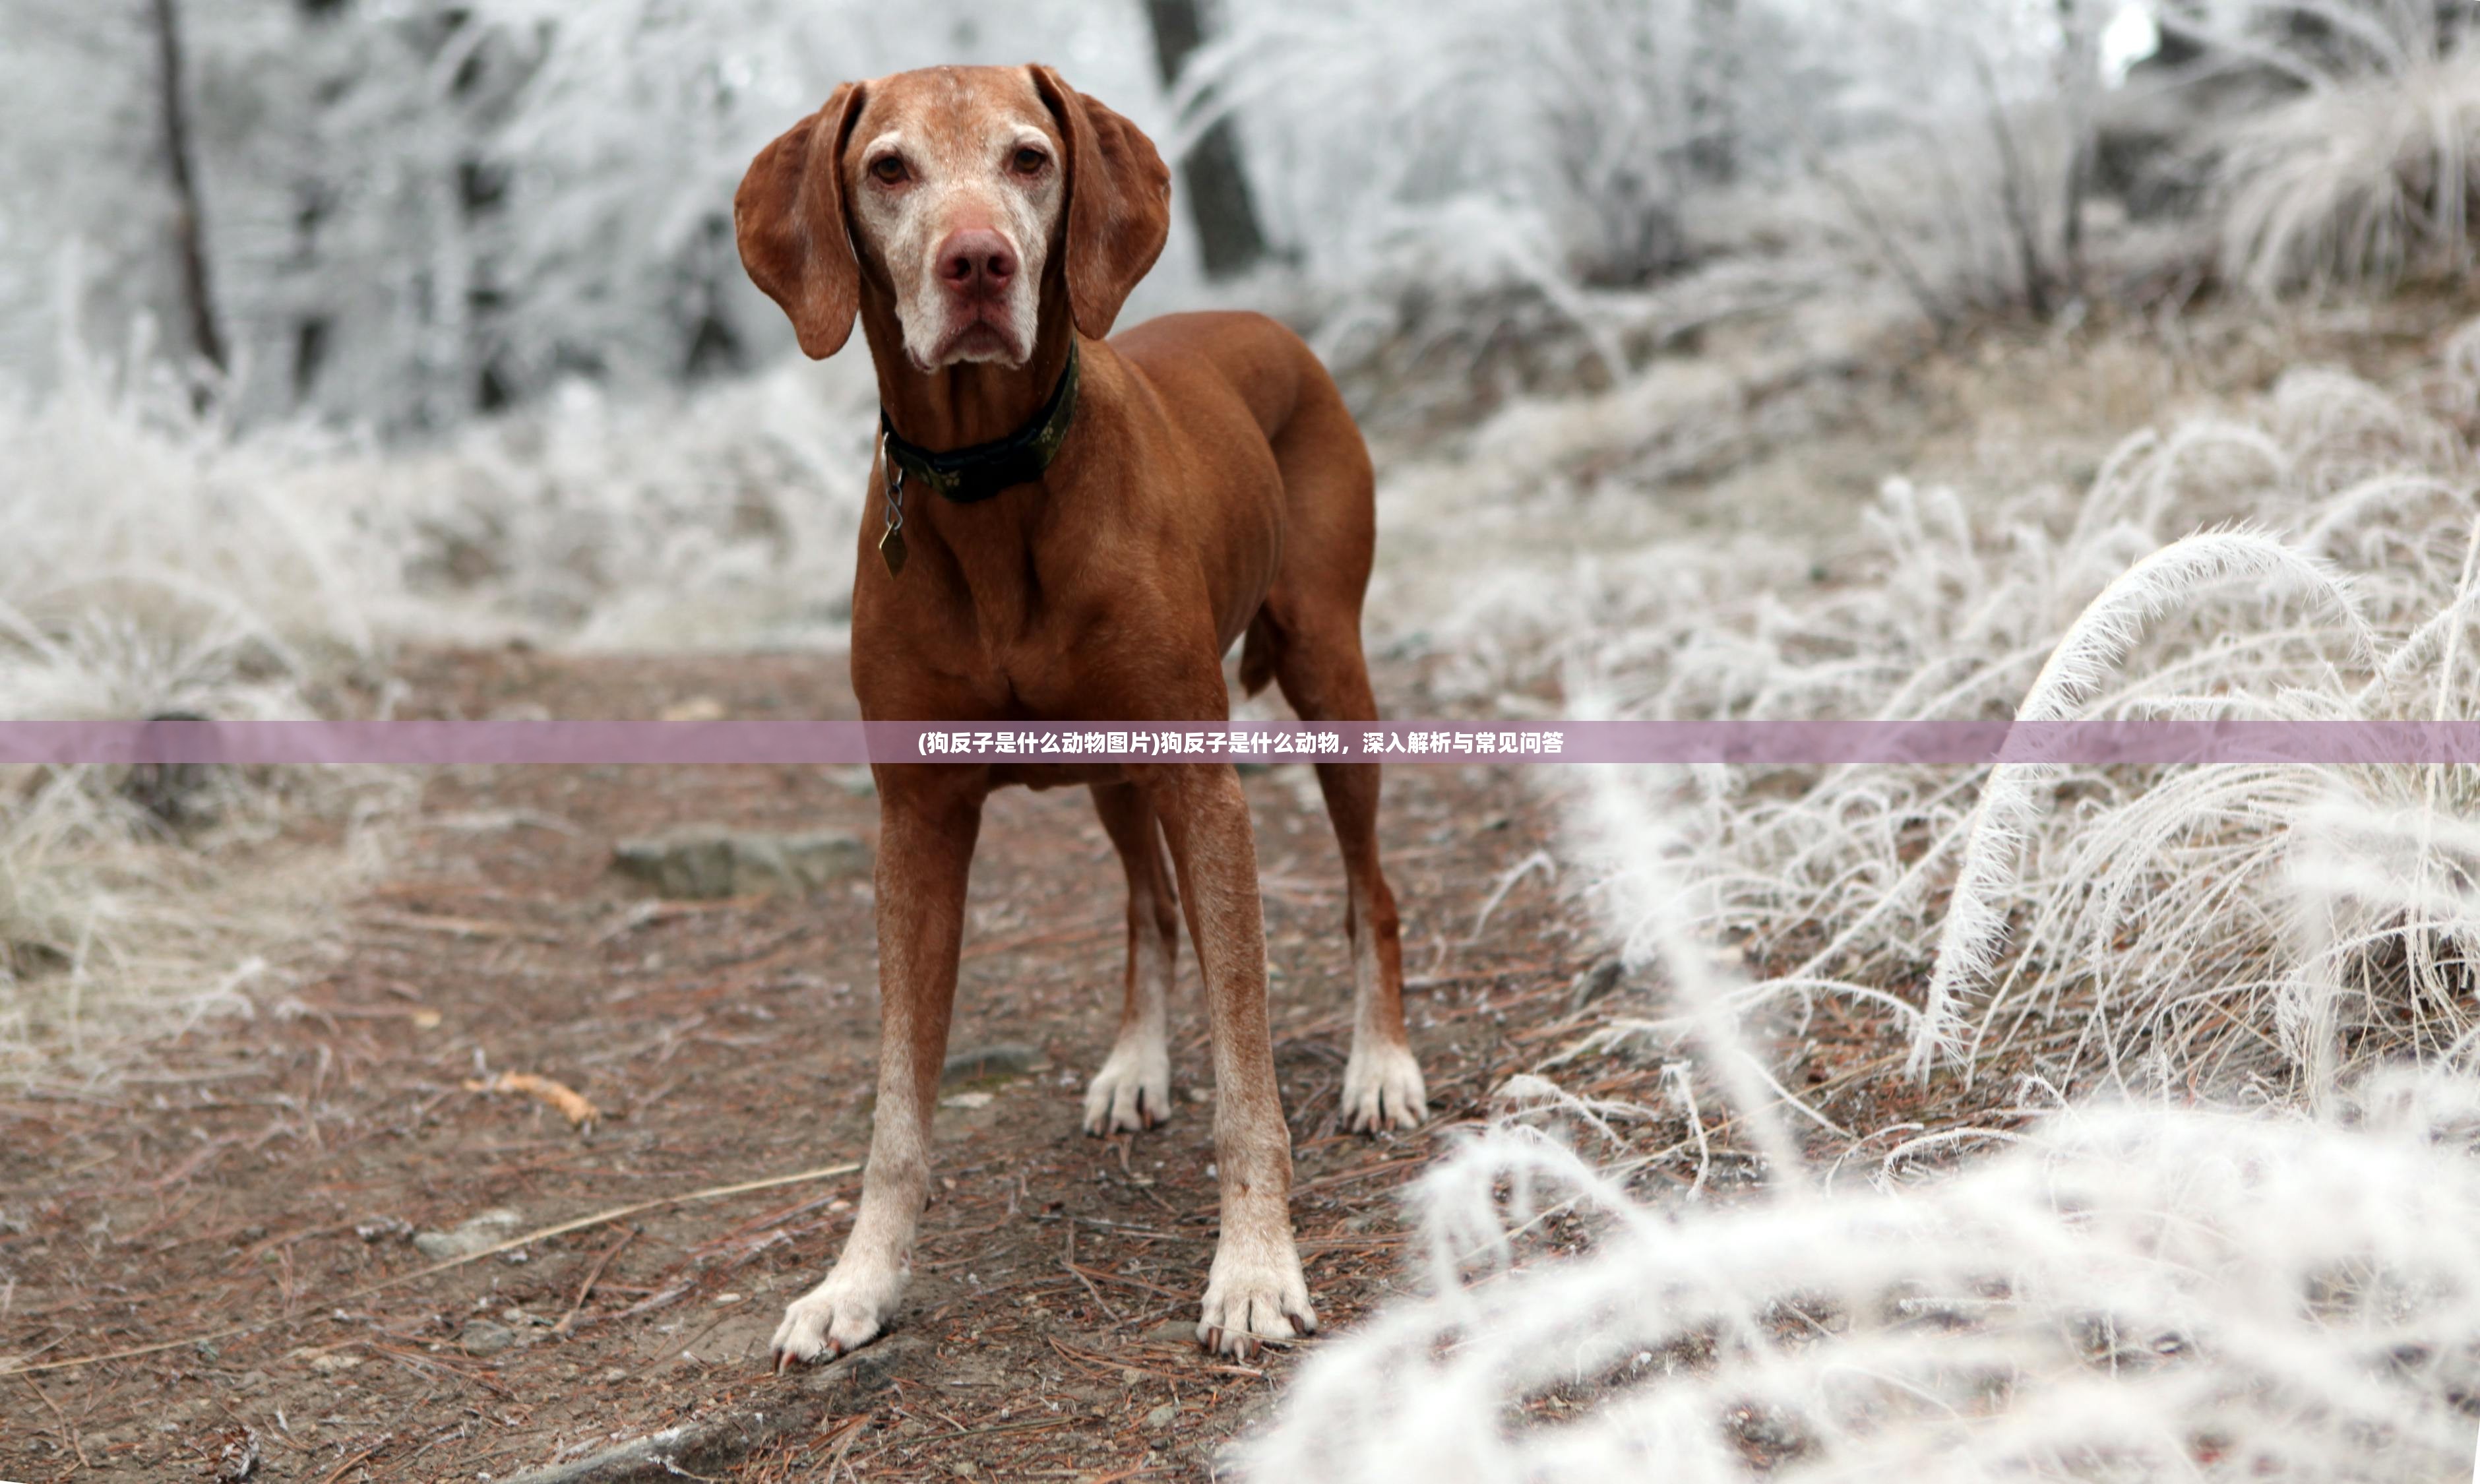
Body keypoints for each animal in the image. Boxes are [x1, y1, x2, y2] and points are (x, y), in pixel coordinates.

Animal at [724, 67, 1428, 1369]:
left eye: (1031, 158)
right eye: (888, 168)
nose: (978, 263)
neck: (993, 483)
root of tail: (1268, 323)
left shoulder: (1203, 785)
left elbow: (1249, 1080)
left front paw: (1255, 1269)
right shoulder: (917, 820)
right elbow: (898, 1105)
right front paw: (858, 1280)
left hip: (1329, 674)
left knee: (1374, 892)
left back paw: (1382, 1065)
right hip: (1113, 767)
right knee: (1147, 907)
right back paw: (1136, 1062)